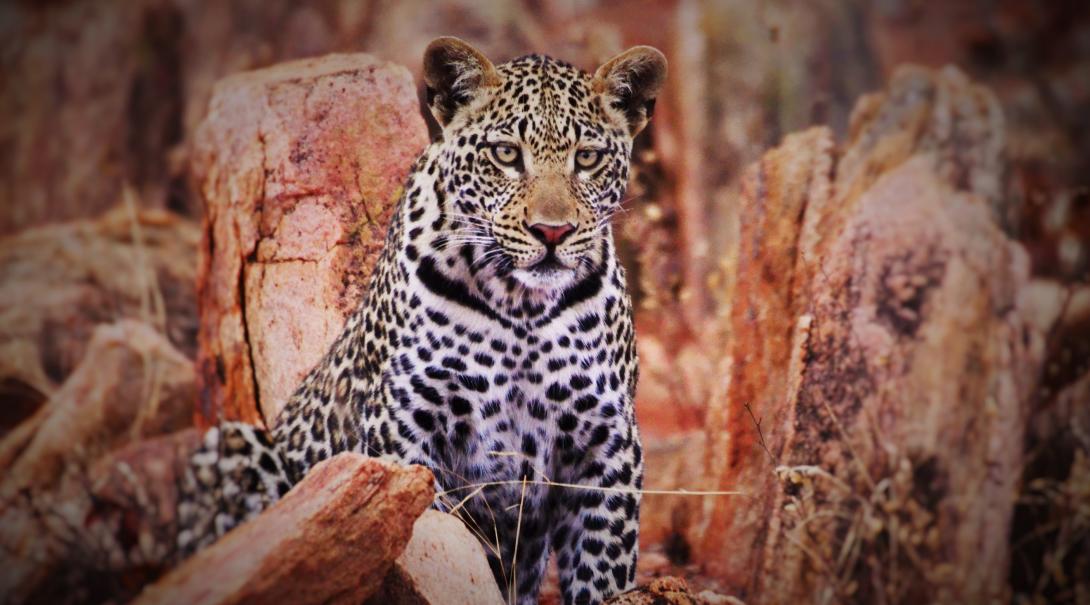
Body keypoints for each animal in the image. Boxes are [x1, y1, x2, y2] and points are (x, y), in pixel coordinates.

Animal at [177, 37, 666, 605]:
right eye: (506, 154)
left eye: (587, 159)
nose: (552, 232)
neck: (521, 305)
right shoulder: (407, 434)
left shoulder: (606, 444)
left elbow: (603, 567)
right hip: (233, 445)